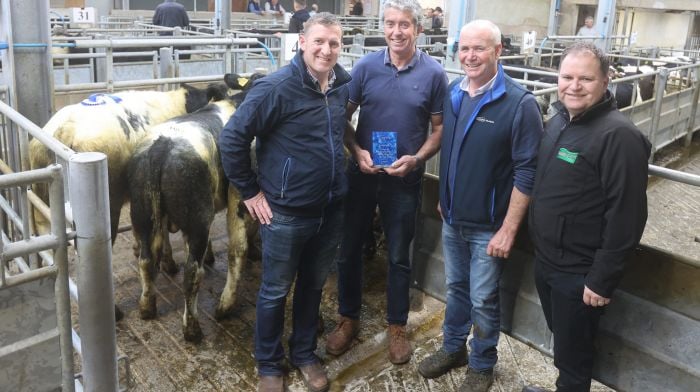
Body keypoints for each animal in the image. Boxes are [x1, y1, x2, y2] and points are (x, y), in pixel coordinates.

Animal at [126, 74, 262, 344]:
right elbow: (239, 245)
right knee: (192, 272)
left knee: (146, 260)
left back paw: (147, 308)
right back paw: (192, 329)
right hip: (197, 218)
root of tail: (161, 148)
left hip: (143, 215)